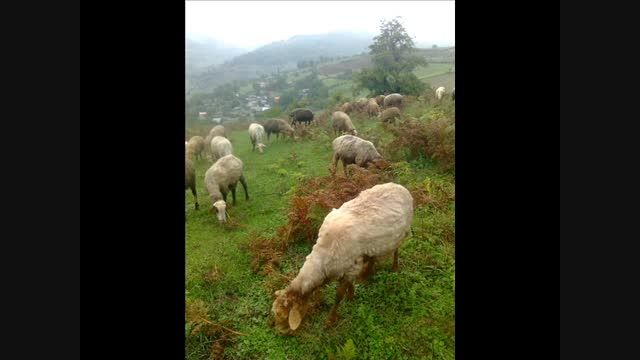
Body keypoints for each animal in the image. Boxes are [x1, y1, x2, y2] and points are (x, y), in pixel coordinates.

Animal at [272, 181, 416, 334]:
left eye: (282, 316)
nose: (280, 332)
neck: (323, 255)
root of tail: (398, 186)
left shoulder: (352, 267)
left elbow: (338, 296)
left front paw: (331, 320)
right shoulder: (352, 265)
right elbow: (350, 284)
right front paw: (351, 296)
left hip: (402, 233)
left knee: (396, 251)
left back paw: (394, 267)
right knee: (372, 258)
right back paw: (366, 276)